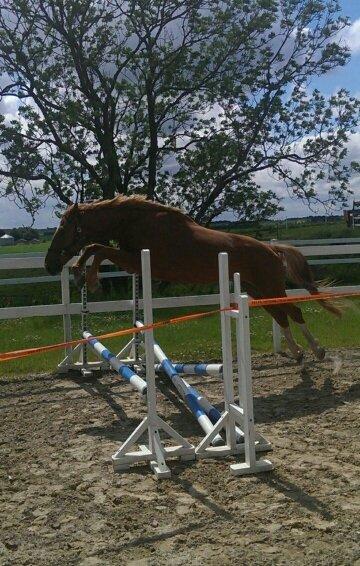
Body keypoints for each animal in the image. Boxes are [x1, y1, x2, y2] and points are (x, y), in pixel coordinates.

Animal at [45, 197, 340, 362]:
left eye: (64, 228)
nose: (49, 265)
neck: (137, 221)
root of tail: (272, 250)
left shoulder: (136, 260)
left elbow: (96, 248)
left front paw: (85, 278)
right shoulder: (132, 261)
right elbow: (96, 248)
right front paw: (83, 276)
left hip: (270, 286)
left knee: (294, 311)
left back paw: (317, 351)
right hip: (257, 291)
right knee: (282, 315)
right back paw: (300, 354)